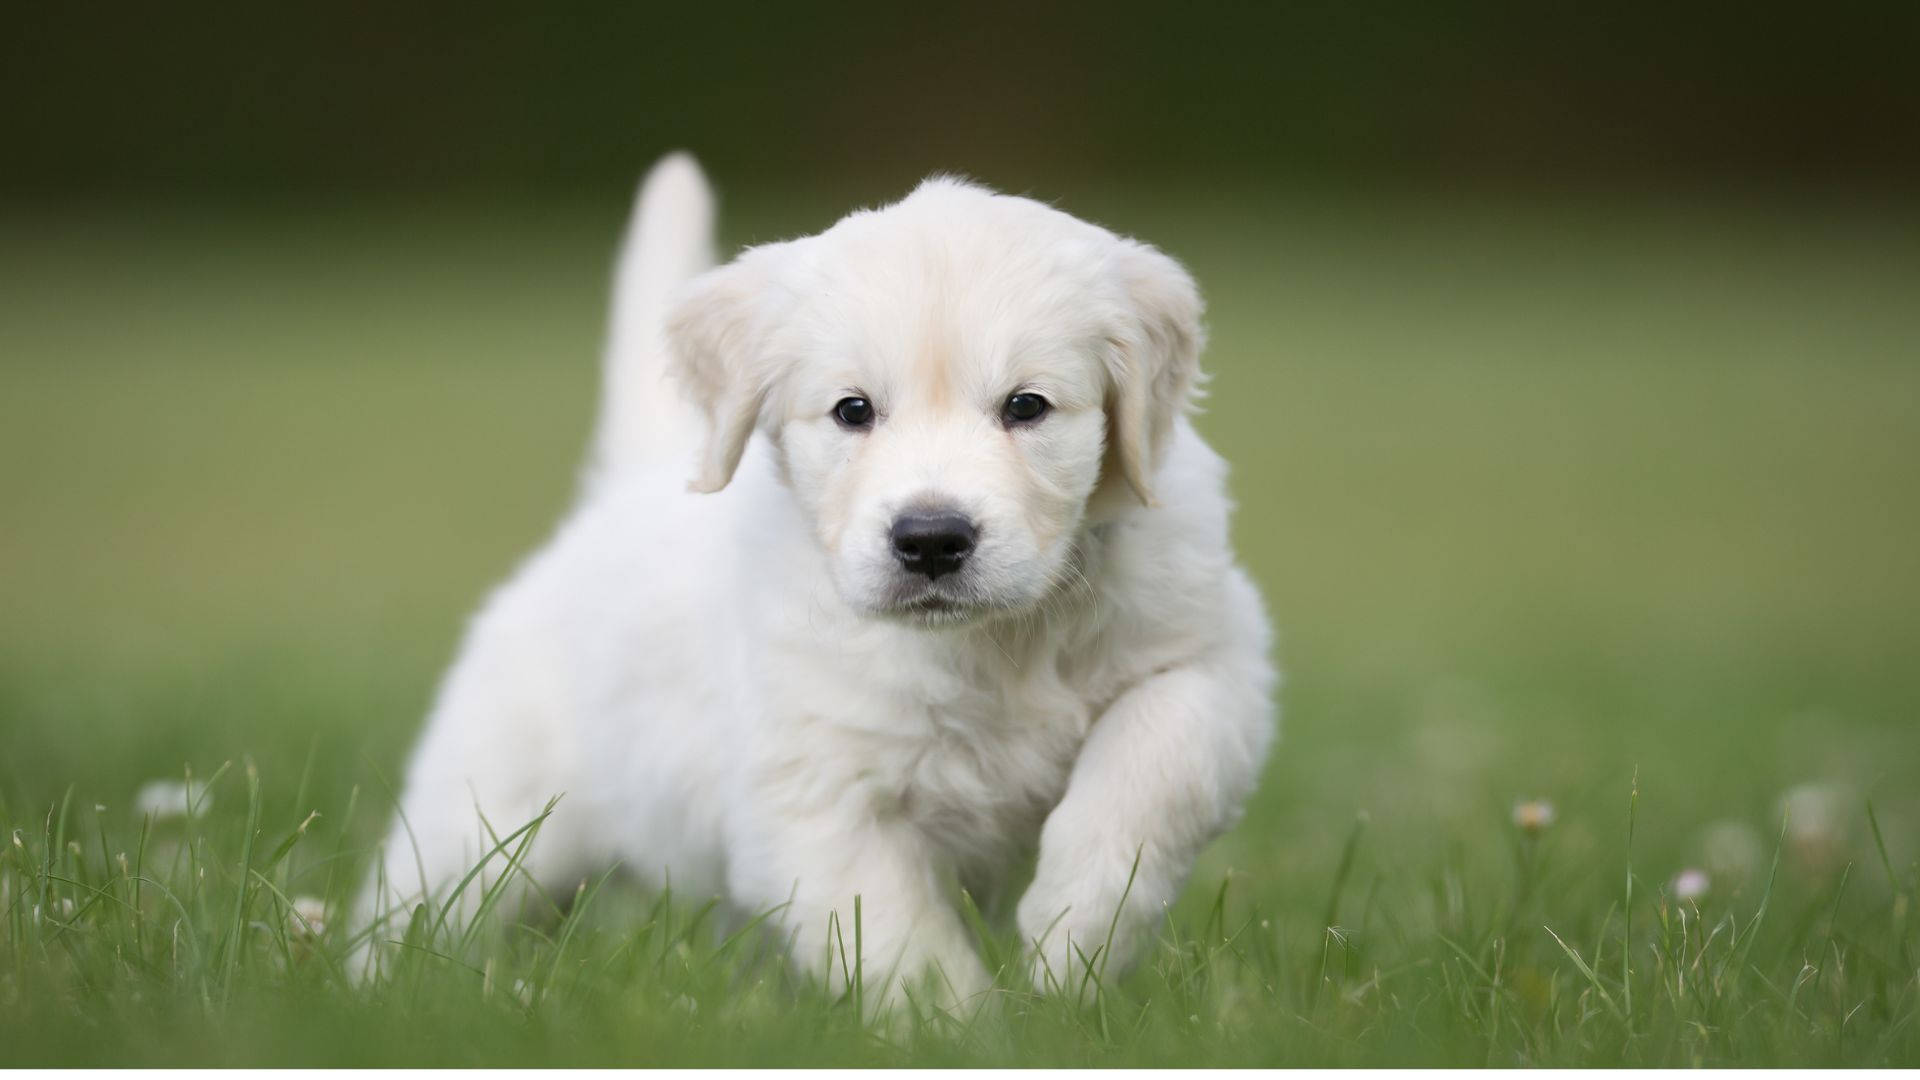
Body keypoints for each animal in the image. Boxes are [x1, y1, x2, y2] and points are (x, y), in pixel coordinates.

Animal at [357, 153, 1290, 1006]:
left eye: (1027, 406)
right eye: (853, 410)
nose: (931, 540)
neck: (991, 646)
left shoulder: (1210, 663)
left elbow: (1148, 777)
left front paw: (1071, 944)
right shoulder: (814, 792)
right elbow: (898, 941)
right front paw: (962, 1033)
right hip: (485, 811)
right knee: (421, 903)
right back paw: (373, 989)